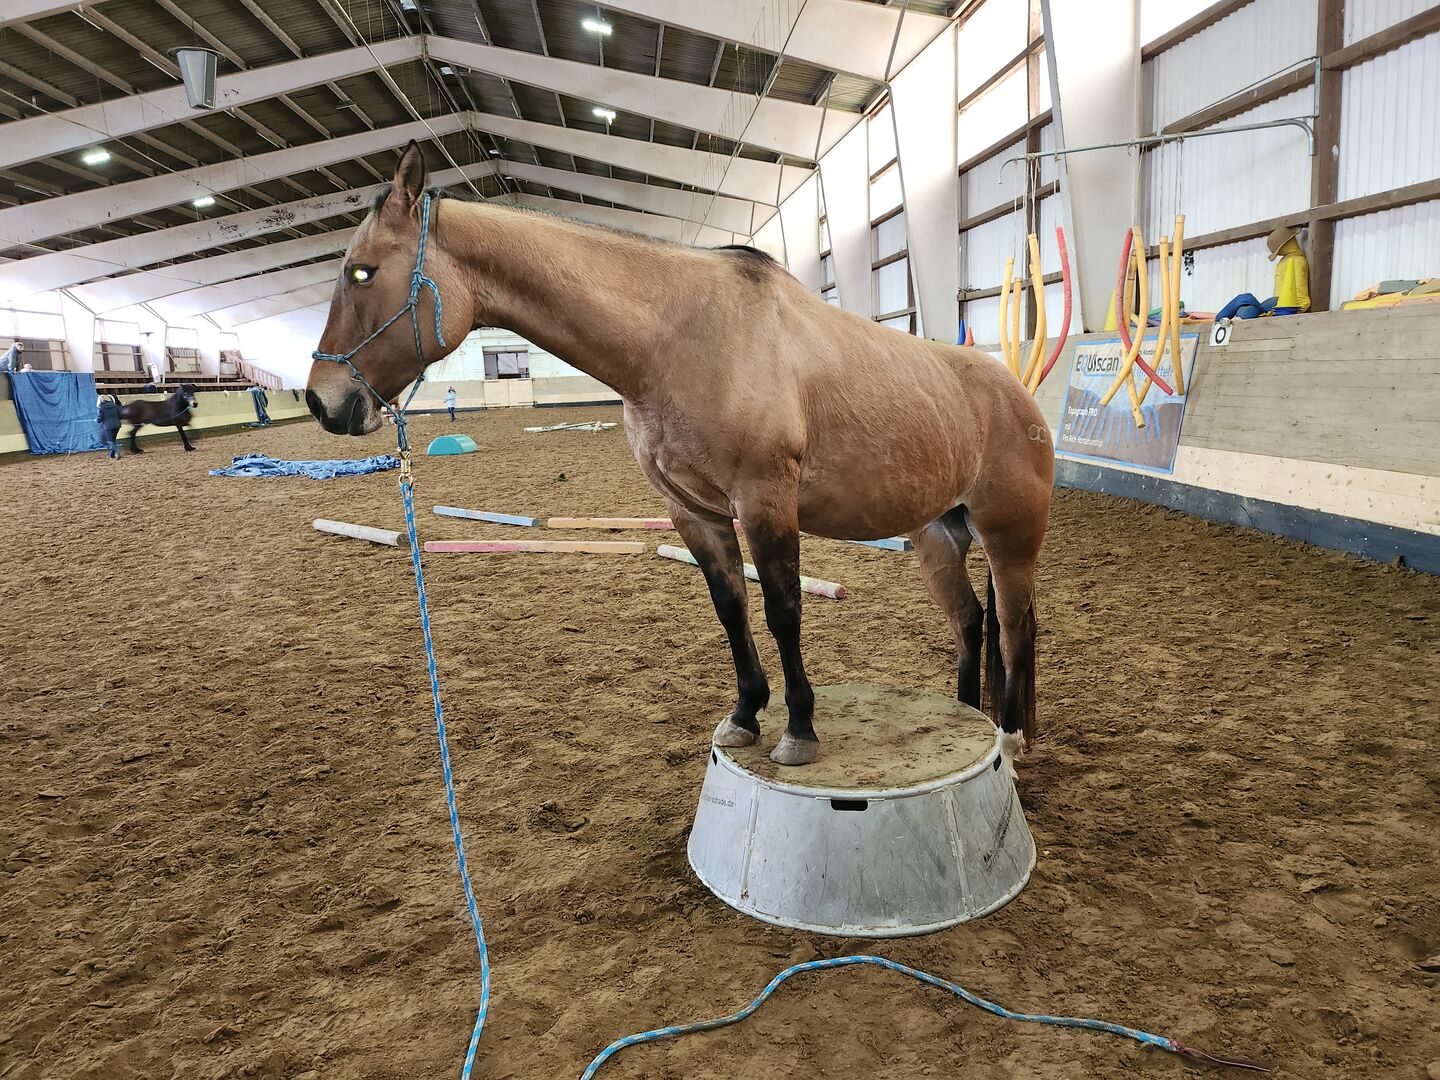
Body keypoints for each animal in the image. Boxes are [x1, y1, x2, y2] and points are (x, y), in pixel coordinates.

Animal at [306, 142, 1053, 773]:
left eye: (361, 271)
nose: (322, 401)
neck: (678, 336)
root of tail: (1017, 390)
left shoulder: (765, 502)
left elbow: (783, 610)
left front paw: (799, 731)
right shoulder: (694, 512)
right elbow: (730, 607)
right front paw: (746, 715)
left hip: (1008, 536)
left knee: (1015, 625)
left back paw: (1010, 738)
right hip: (936, 535)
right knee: (969, 621)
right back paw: (966, 716)